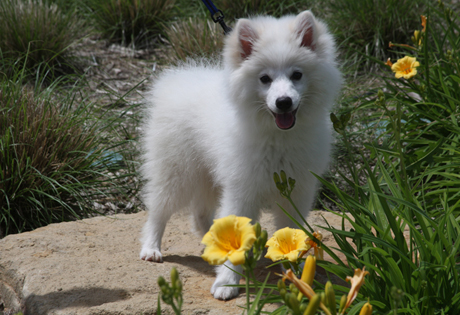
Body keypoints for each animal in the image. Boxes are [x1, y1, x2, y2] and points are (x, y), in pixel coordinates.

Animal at [140, 9, 342, 302]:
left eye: (297, 75)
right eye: (264, 79)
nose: (283, 102)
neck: (278, 137)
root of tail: (178, 79)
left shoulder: (297, 192)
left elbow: (290, 232)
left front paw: (296, 272)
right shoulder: (242, 189)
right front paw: (227, 282)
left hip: (207, 175)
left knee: (200, 214)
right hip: (177, 172)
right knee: (158, 209)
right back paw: (151, 248)